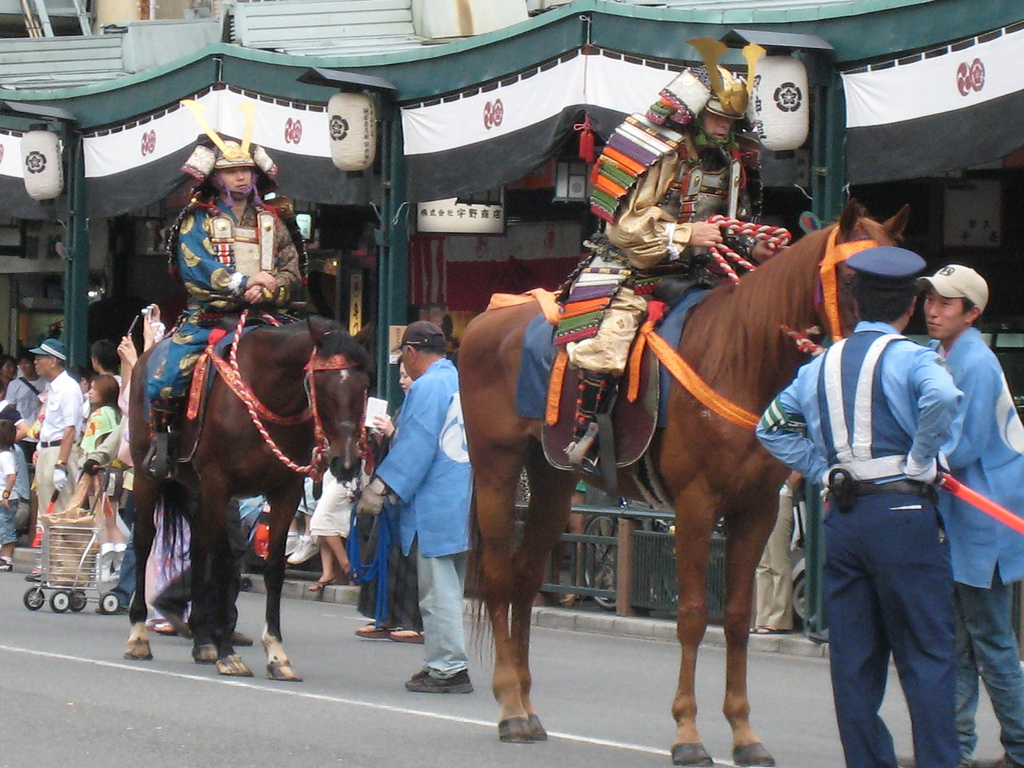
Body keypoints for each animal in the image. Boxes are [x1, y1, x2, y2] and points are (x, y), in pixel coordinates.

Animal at [122, 319, 372, 679]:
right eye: (321, 388)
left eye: (364, 386)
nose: (347, 462)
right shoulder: (219, 482)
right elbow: (223, 563)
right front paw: (229, 654)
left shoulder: (285, 491)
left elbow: (273, 568)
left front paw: (277, 654)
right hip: (148, 473)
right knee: (145, 541)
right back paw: (140, 636)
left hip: (199, 490)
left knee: (198, 546)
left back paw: (202, 641)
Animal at [460, 201, 909, 765]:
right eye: (851, 277)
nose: (885, 338)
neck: (740, 356)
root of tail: (487, 319)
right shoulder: (697, 504)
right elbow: (693, 614)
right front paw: (688, 733)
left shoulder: (756, 509)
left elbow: (735, 616)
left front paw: (744, 734)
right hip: (496, 469)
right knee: (499, 578)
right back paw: (509, 708)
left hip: (552, 479)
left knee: (524, 576)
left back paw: (525, 702)